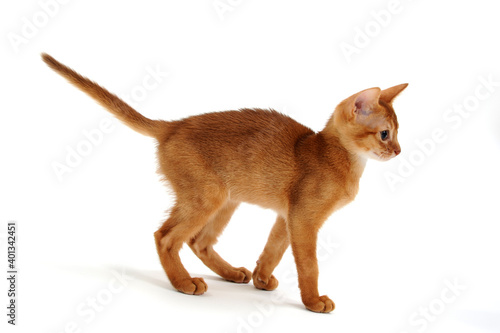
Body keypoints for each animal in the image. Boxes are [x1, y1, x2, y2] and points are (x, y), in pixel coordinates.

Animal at [40, 53, 406, 312]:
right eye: (384, 134)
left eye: (398, 133)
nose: (399, 151)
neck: (336, 157)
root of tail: (173, 125)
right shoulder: (304, 219)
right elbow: (309, 266)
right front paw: (313, 302)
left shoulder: (286, 216)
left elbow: (272, 251)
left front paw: (261, 279)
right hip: (208, 196)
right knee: (165, 237)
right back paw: (184, 283)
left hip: (227, 200)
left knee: (198, 241)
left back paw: (231, 274)